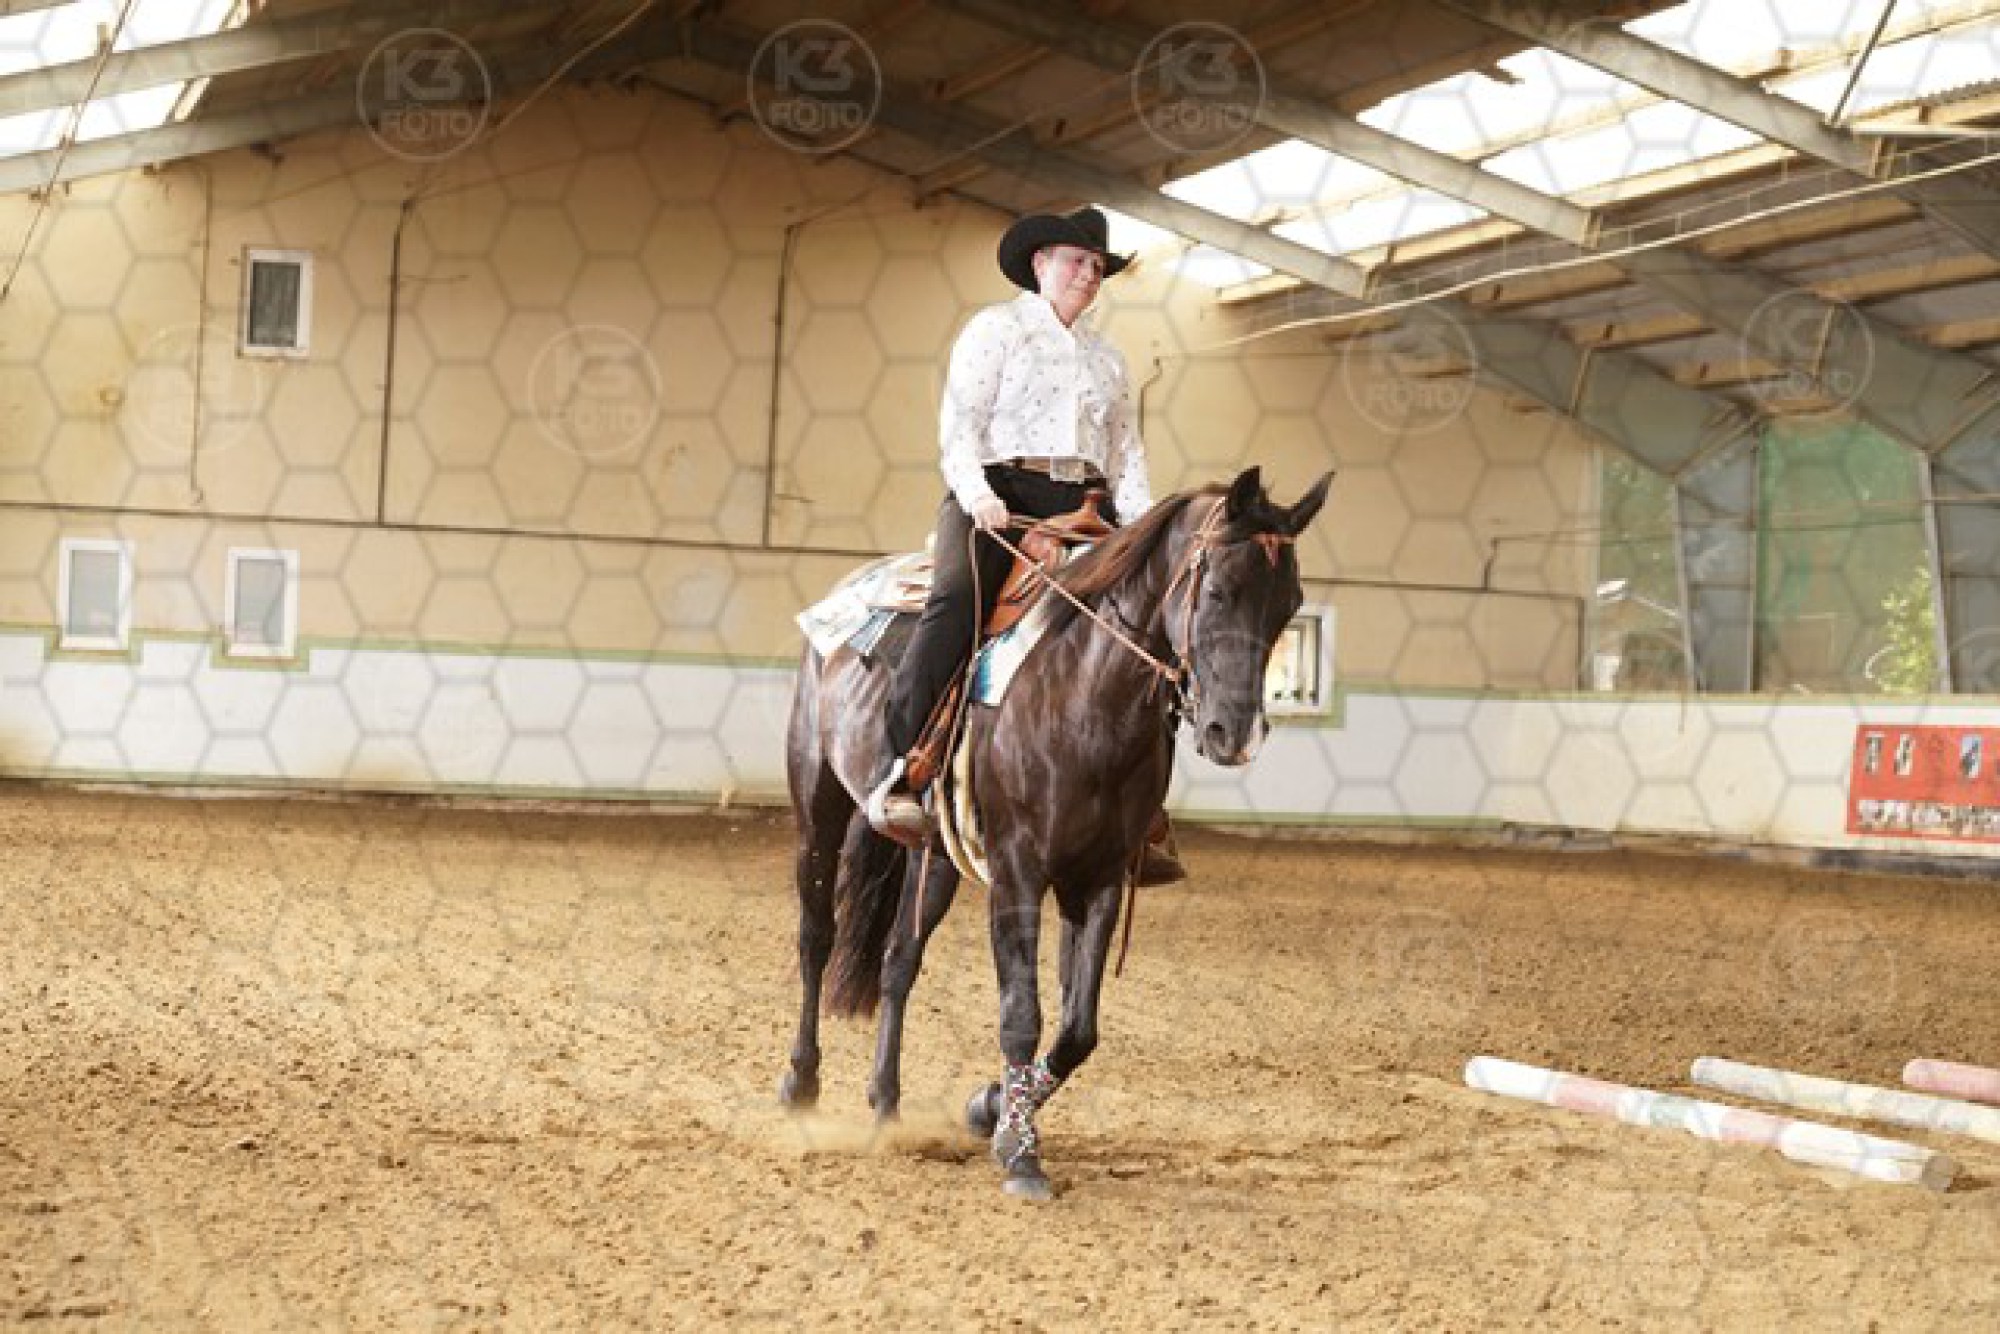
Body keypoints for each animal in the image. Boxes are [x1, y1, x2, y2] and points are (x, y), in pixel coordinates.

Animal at [779, 465, 1333, 1199]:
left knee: (899, 964)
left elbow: (1077, 1030)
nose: (1235, 734)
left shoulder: (1097, 878)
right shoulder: (1017, 872)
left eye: (1289, 604)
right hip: (818, 809)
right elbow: (1023, 1014)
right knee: (816, 938)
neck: (1084, 693)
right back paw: (800, 1083)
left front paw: (992, 1109)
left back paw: (887, 1106)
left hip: (938, 857)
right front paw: (1021, 1155)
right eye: (1218, 588)